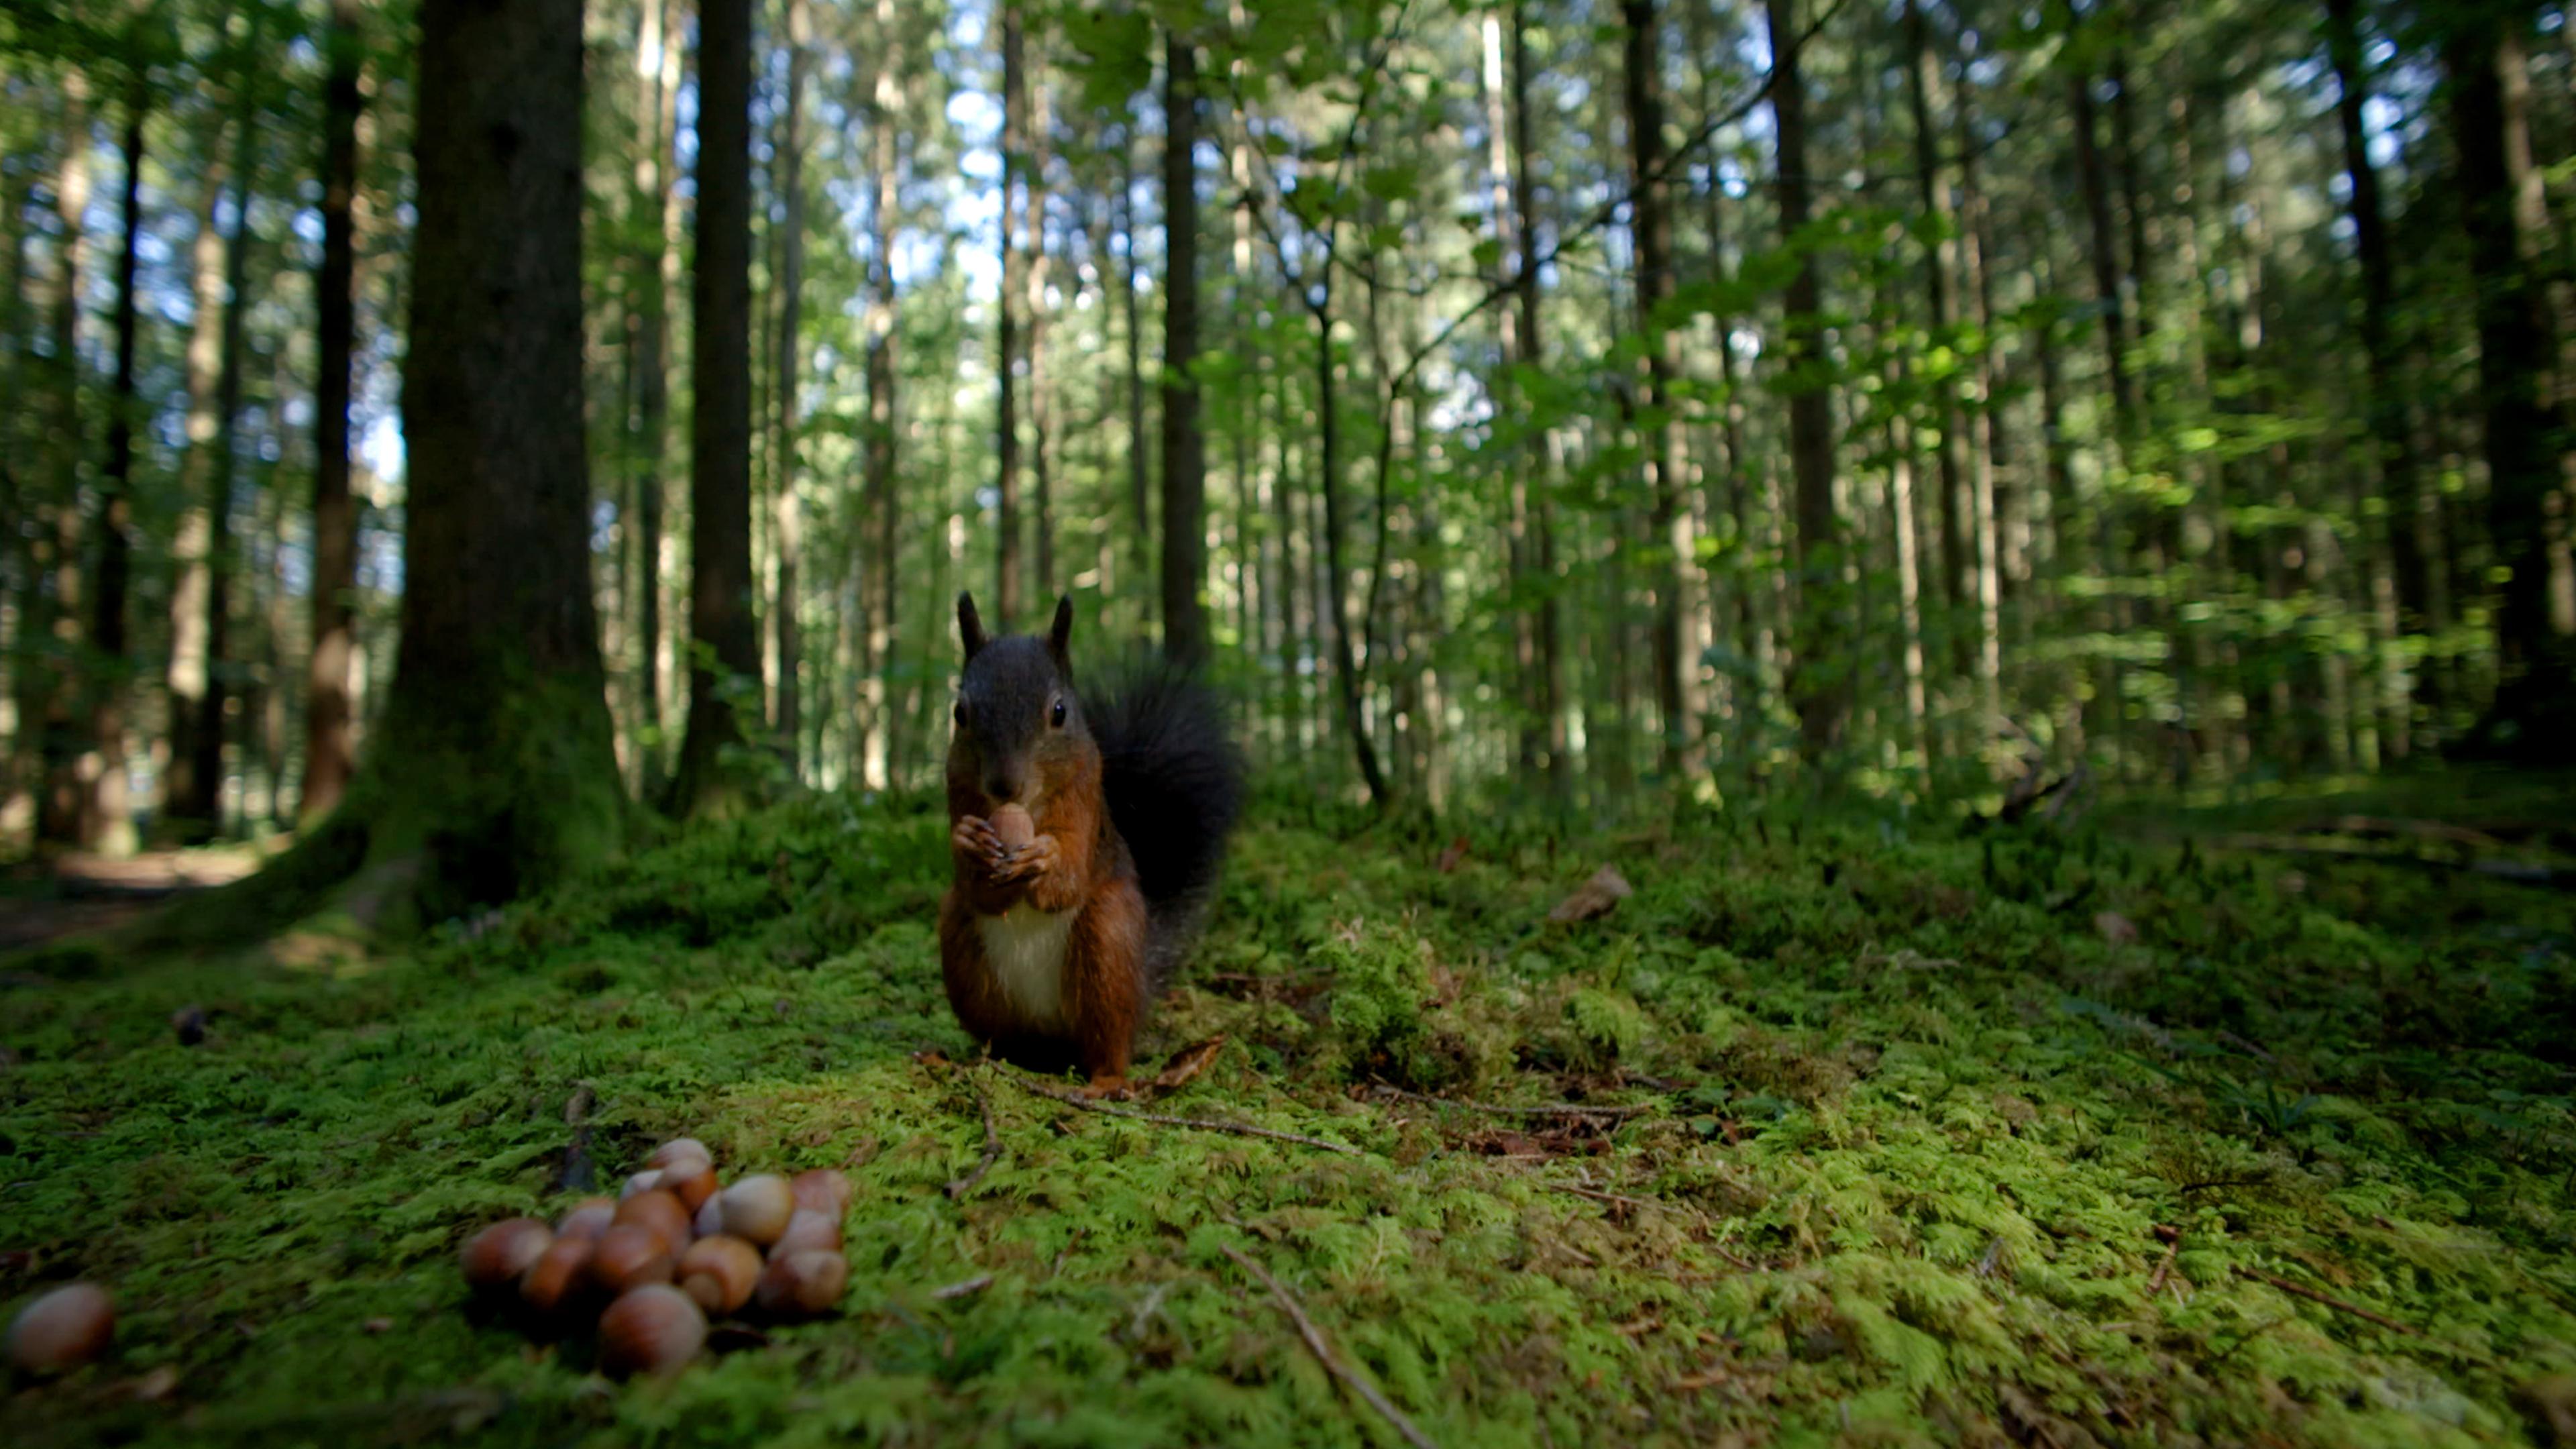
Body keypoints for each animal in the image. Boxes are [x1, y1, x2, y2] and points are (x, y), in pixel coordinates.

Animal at [938, 592, 1244, 1096]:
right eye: (960, 714)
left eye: (1060, 712)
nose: (1004, 786)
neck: (1026, 809)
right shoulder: (958, 791)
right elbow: (981, 893)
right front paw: (969, 842)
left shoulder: (1084, 804)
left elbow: (1066, 884)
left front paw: (1046, 858)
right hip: (961, 946)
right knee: (1003, 1037)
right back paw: (976, 1062)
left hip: (1108, 945)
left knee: (1110, 1039)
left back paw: (1105, 1081)